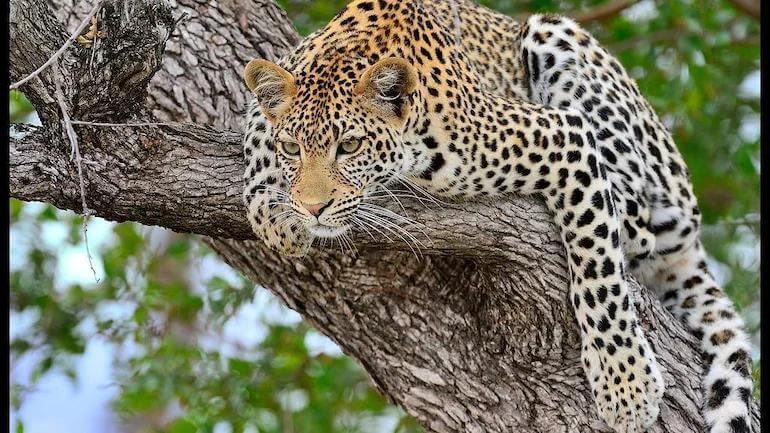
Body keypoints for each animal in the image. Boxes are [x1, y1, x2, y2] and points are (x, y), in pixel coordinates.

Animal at [240, 0, 754, 431]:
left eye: (349, 146)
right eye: (292, 148)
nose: (313, 207)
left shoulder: (564, 137)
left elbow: (599, 275)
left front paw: (625, 384)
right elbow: (255, 133)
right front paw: (273, 210)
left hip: (560, 41)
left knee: (640, 221)